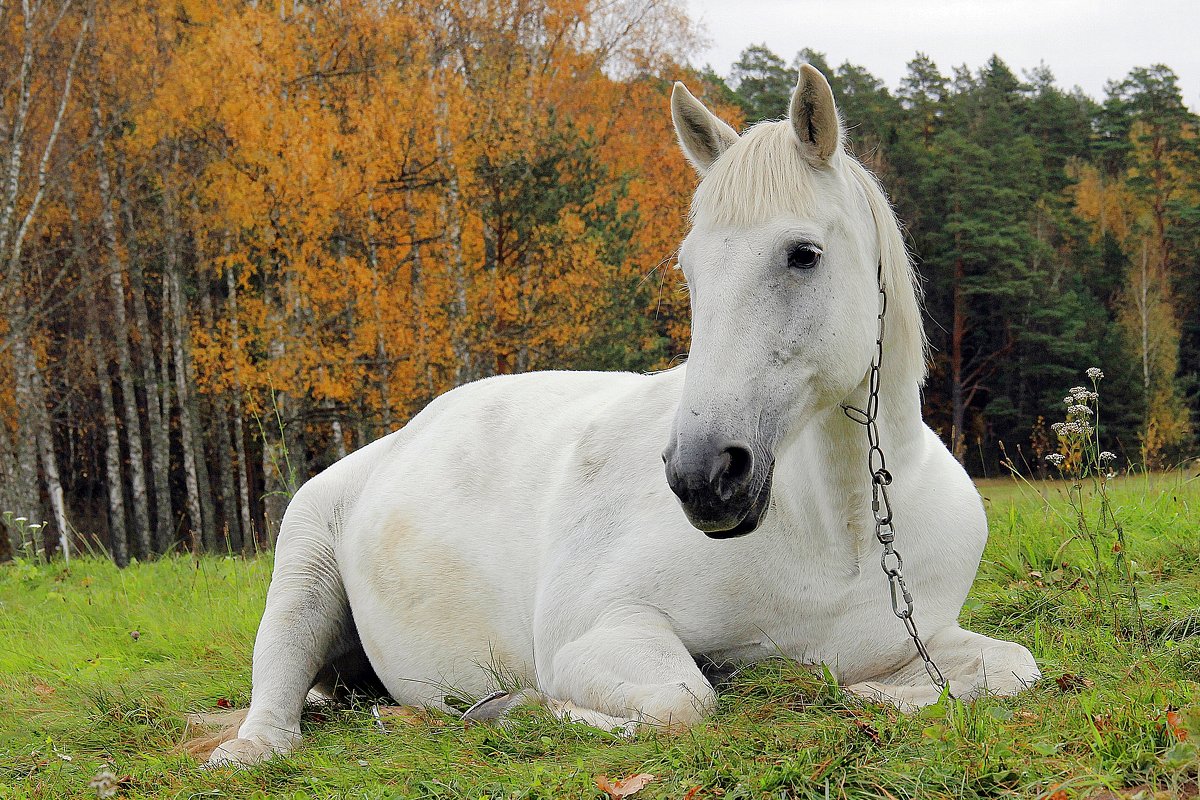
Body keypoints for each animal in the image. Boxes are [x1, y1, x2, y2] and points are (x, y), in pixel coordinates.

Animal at [208, 65, 1041, 767]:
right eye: (688, 268)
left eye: (802, 253)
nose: (703, 475)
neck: (841, 532)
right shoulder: (594, 636)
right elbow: (682, 702)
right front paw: (514, 707)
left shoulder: (930, 638)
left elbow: (1013, 670)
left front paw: (885, 694)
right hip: (303, 571)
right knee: (276, 701)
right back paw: (256, 749)